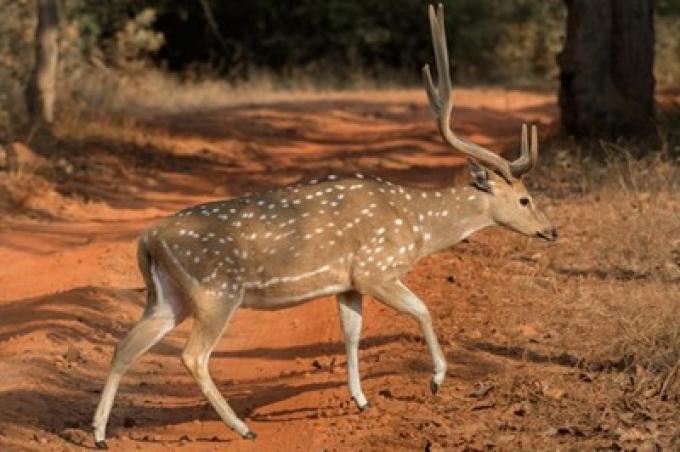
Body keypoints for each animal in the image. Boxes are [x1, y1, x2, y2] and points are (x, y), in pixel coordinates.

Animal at [92, 3, 556, 448]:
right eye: (525, 199)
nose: (551, 231)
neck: (418, 226)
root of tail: (147, 238)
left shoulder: (347, 283)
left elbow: (351, 333)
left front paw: (362, 399)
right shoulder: (375, 269)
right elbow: (422, 310)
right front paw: (436, 379)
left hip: (168, 296)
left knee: (125, 346)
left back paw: (99, 434)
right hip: (216, 292)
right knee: (192, 355)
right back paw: (243, 428)